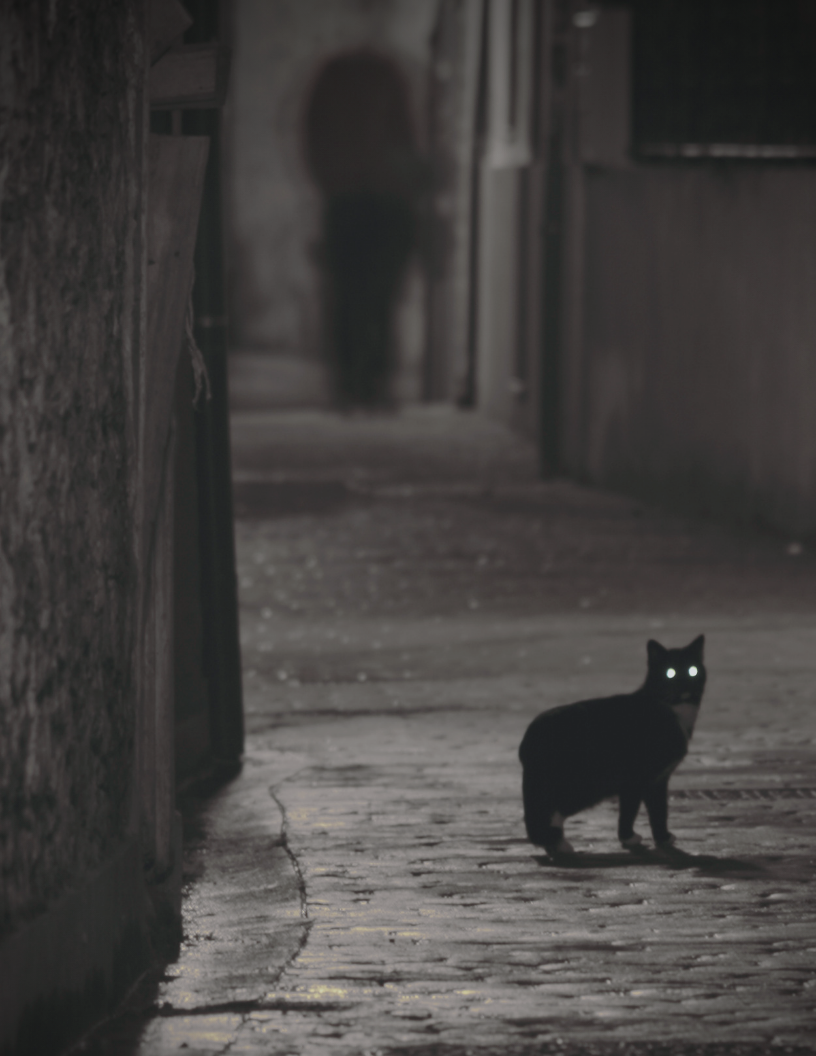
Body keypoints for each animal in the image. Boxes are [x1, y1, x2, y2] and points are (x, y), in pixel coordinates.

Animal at [519, 637, 705, 853]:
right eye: (670, 672)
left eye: (693, 670)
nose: (685, 683)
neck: (673, 709)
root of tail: (530, 736)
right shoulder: (641, 778)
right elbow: (644, 811)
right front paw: (646, 838)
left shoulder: (651, 781)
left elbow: (644, 811)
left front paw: (646, 838)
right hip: (580, 784)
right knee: (545, 815)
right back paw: (558, 843)